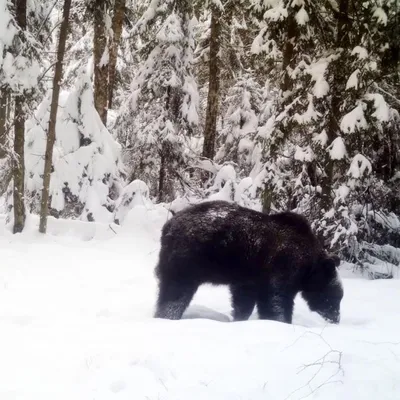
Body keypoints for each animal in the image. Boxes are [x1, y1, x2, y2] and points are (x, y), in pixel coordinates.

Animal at [153, 202, 344, 324]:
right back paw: (167, 316)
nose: (335, 318)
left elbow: (244, 300)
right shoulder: (283, 265)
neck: (308, 266)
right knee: (175, 294)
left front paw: (239, 319)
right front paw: (281, 321)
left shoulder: (248, 277)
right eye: (335, 296)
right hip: (187, 261)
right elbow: (276, 299)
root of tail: (168, 226)